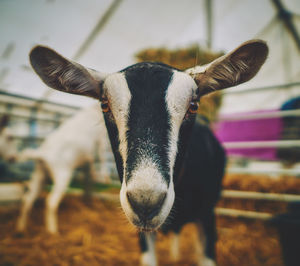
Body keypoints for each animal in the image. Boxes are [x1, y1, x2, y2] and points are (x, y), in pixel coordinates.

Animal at [16, 105, 110, 234]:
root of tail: (42, 154)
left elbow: (89, 163)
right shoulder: (100, 137)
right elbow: (102, 155)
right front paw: (105, 178)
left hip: (39, 174)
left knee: (27, 199)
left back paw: (21, 229)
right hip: (62, 175)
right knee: (50, 201)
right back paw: (53, 231)